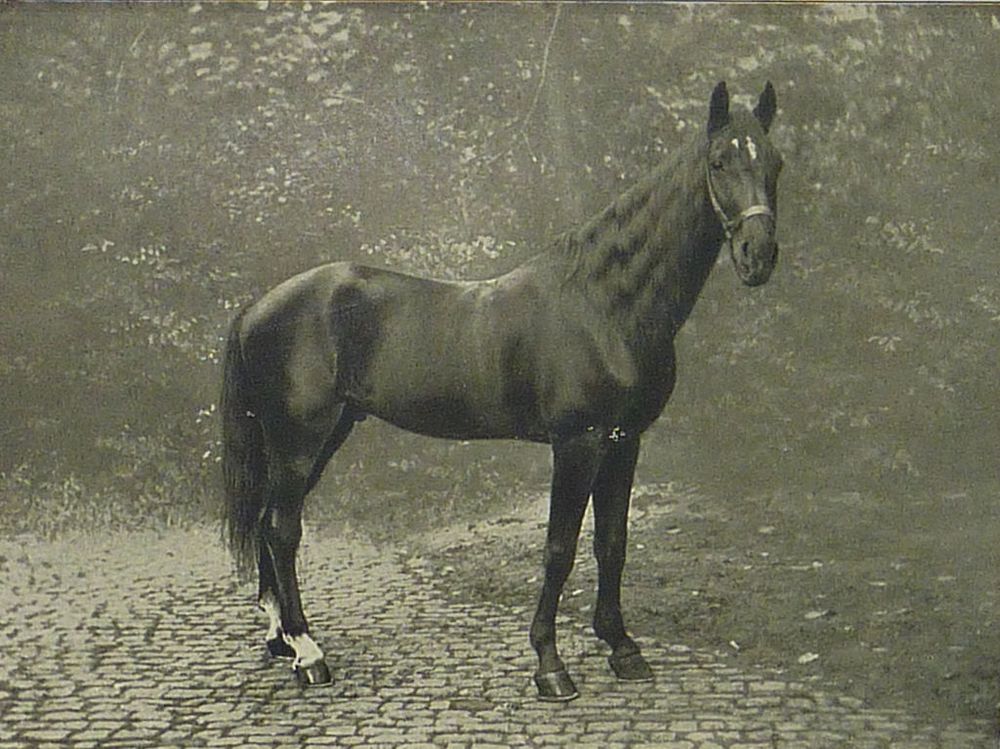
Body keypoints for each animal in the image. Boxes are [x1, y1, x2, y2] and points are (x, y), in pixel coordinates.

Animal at [221, 81, 782, 701]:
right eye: (720, 161)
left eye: (775, 163)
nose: (759, 256)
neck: (606, 306)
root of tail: (259, 305)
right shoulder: (578, 442)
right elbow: (560, 549)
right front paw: (550, 665)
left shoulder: (624, 440)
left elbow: (612, 543)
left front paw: (622, 648)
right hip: (299, 439)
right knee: (282, 530)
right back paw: (309, 653)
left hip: (320, 437)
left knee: (270, 525)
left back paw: (281, 641)